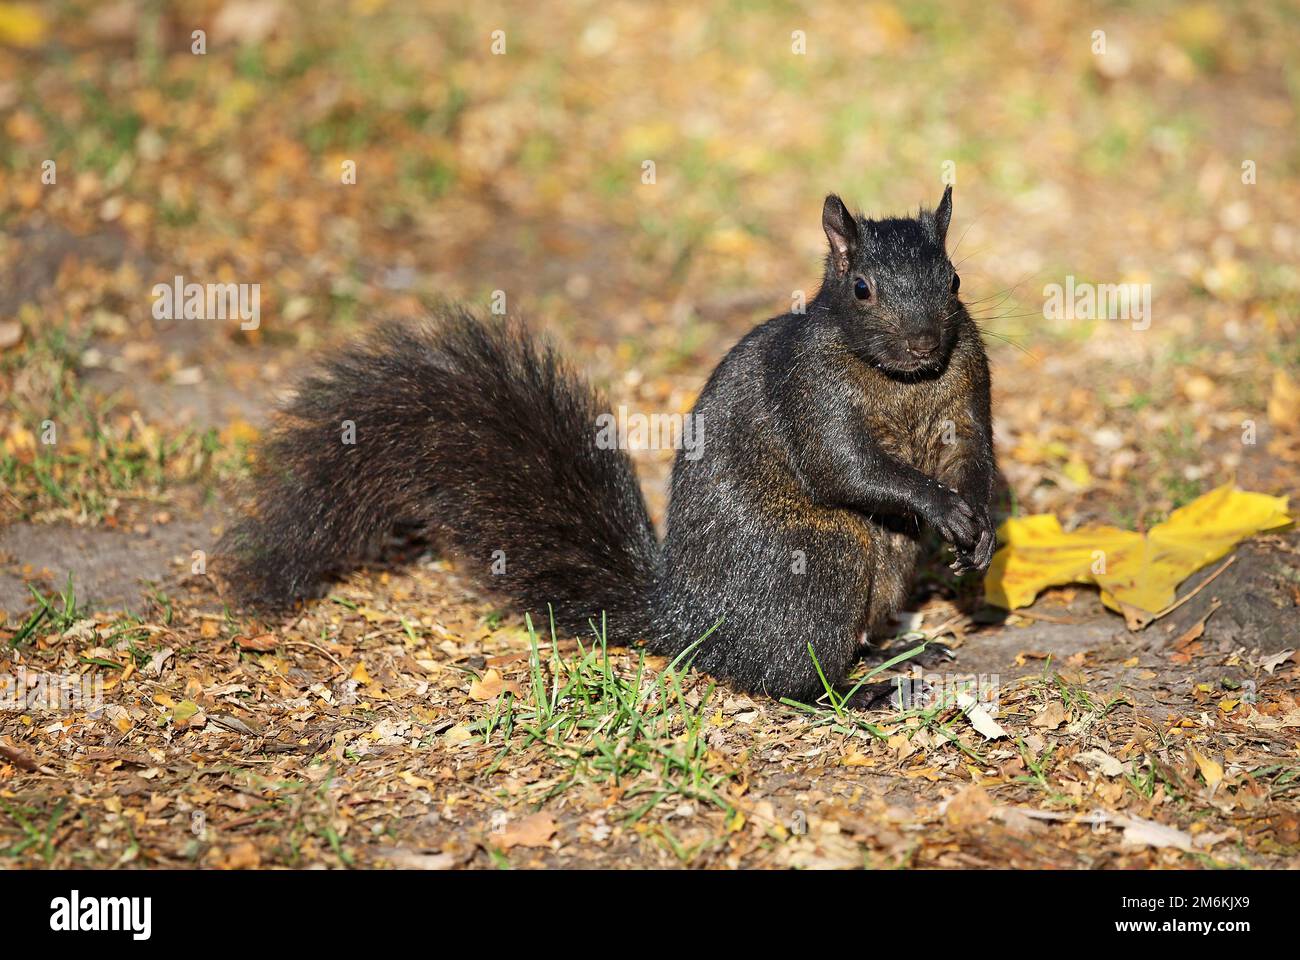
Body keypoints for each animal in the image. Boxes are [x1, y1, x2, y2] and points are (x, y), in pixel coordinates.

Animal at [222, 186, 996, 706]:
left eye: (955, 280)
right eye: (861, 289)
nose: (924, 342)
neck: (904, 381)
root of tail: (688, 623)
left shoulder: (967, 389)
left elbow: (973, 456)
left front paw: (980, 529)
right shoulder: (810, 389)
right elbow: (845, 467)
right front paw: (943, 509)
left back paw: (902, 646)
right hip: (821, 561)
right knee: (786, 677)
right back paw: (856, 689)